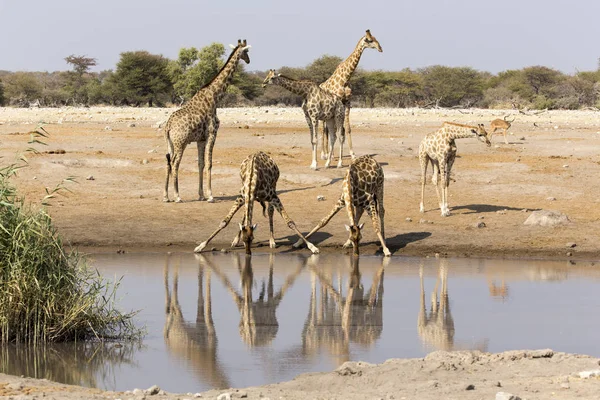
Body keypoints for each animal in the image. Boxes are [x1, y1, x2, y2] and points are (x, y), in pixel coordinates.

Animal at [162, 38, 251, 202]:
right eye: (246, 51)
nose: (248, 60)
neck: (215, 97)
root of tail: (168, 126)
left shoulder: (201, 139)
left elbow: (201, 164)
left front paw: (201, 194)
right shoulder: (212, 134)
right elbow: (209, 163)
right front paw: (210, 195)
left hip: (170, 143)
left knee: (168, 162)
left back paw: (166, 196)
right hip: (180, 143)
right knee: (175, 163)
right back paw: (177, 196)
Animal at [318, 29, 384, 159]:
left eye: (375, 38)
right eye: (370, 40)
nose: (380, 48)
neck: (345, 78)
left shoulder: (347, 102)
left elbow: (347, 128)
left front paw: (352, 153)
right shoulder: (339, 102)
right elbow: (337, 129)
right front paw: (332, 154)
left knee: (327, 129)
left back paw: (328, 152)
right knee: (323, 129)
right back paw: (324, 154)